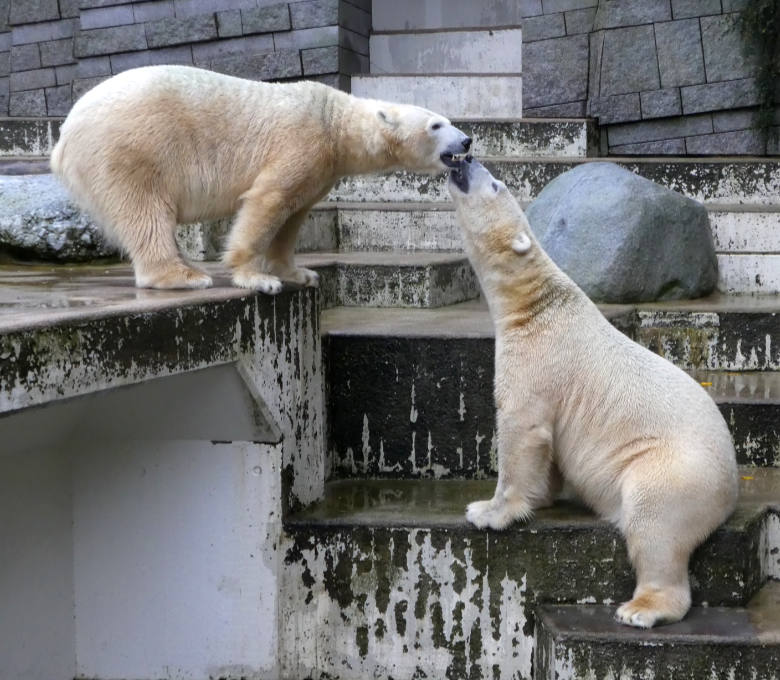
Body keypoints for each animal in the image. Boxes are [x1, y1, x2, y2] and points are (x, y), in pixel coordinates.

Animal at [53, 65, 476, 294]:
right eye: (437, 124)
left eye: (447, 121)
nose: (468, 140)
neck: (333, 120)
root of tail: (63, 137)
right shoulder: (301, 142)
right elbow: (267, 200)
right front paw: (256, 277)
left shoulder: (321, 169)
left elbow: (295, 213)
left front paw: (299, 272)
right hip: (130, 148)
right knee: (144, 210)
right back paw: (186, 275)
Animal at [448, 157, 740, 628]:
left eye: (495, 184)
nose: (464, 157)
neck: (538, 305)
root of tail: (732, 487)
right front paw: (541, 495)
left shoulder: (537, 358)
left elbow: (521, 428)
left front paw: (488, 512)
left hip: (675, 471)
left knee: (654, 523)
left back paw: (641, 609)